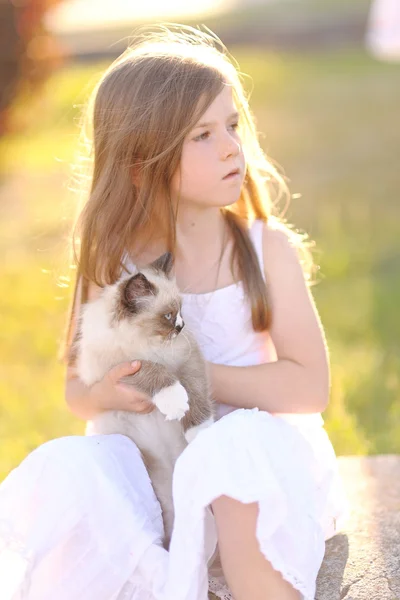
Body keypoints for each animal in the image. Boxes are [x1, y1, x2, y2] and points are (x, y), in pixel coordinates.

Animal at [76, 253, 217, 548]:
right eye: (167, 316)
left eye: (181, 311)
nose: (181, 326)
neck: (148, 345)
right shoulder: (121, 370)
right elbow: (155, 372)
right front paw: (174, 400)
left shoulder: (188, 360)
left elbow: (195, 395)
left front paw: (199, 431)